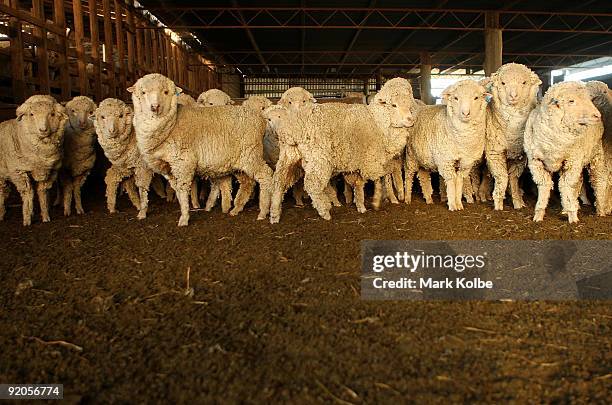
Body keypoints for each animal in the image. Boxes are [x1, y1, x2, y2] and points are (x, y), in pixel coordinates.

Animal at [0, 95, 67, 227]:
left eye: (52, 114)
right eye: (31, 114)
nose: (43, 129)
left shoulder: (48, 171)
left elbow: (42, 192)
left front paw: (45, 216)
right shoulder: (19, 172)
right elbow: (28, 193)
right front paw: (27, 219)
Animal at [129, 72, 272, 224]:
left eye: (166, 92)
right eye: (143, 92)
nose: (154, 107)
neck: (171, 124)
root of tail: (260, 119)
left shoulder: (183, 162)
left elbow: (182, 189)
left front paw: (184, 218)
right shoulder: (168, 168)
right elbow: (177, 189)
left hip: (251, 154)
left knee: (266, 175)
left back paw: (263, 211)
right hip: (238, 161)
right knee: (247, 183)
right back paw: (236, 209)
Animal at [404, 79, 490, 211]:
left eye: (476, 98)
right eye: (456, 98)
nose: (465, 113)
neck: (462, 140)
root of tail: (419, 108)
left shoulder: (466, 162)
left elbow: (459, 181)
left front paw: (459, 204)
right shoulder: (446, 160)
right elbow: (450, 181)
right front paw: (452, 205)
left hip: (423, 157)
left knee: (423, 175)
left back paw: (429, 199)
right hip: (411, 155)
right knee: (409, 175)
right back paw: (407, 198)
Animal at [520, 80, 608, 223]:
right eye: (571, 101)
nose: (597, 115)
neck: (555, 141)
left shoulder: (571, 161)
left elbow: (565, 186)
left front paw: (573, 217)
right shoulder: (536, 162)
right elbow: (544, 185)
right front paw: (539, 214)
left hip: (595, 154)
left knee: (599, 179)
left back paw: (600, 210)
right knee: (578, 182)